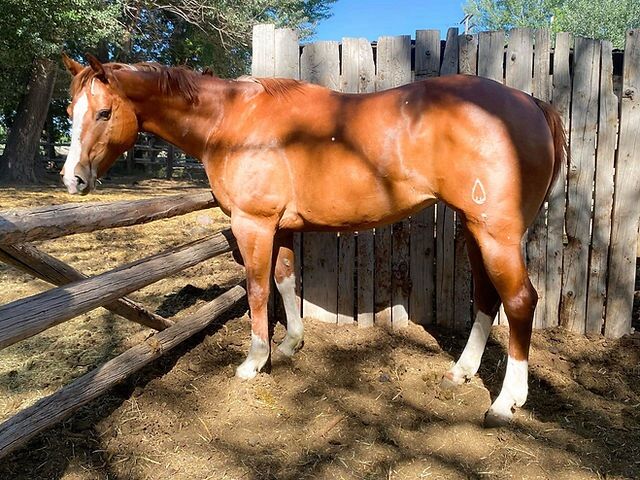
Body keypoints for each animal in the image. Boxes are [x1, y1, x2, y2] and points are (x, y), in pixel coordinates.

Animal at [61, 53, 565, 427]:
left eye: (104, 112)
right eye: (69, 113)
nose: (72, 179)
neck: (232, 121)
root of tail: (530, 102)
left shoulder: (254, 225)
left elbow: (258, 290)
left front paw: (254, 362)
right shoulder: (280, 228)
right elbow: (285, 281)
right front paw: (289, 345)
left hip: (496, 234)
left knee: (519, 301)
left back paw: (506, 402)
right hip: (474, 229)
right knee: (486, 296)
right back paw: (462, 371)